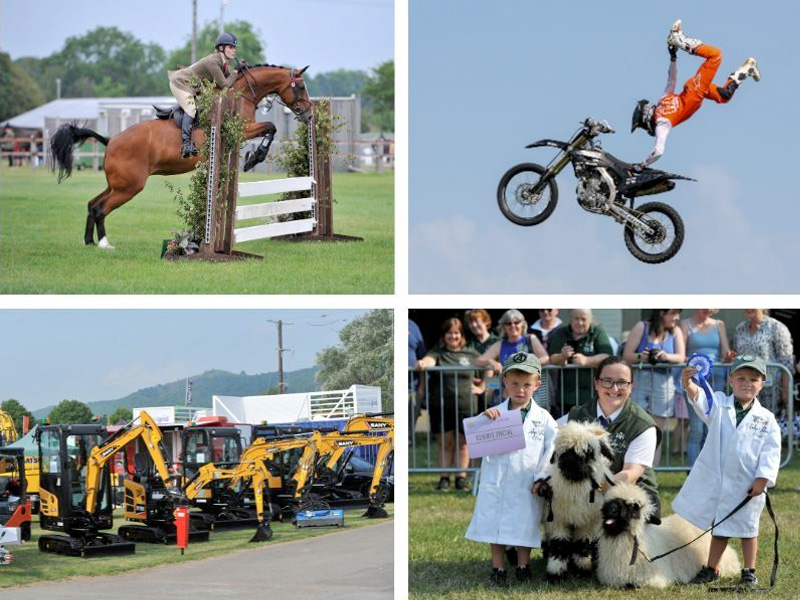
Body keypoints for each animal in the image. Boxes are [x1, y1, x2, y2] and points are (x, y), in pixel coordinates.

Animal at [49, 65, 312, 251]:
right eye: (300, 87)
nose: (308, 113)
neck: (241, 94)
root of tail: (111, 140)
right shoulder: (242, 130)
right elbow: (271, 127)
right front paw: (254, 157)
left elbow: (270, 128)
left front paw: (252, 157)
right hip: (129, 186)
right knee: (101, 208)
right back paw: (105, 244)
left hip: (117, 184)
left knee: (93, 204)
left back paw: (89, 241)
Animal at [540, 422, 616, 580]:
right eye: (564, 451)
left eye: (588, 452)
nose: (570, 462)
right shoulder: (558, 520)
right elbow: (559, 544)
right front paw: (555, 574)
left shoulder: (588, 523)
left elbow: (582, 545)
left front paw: (582, 569)